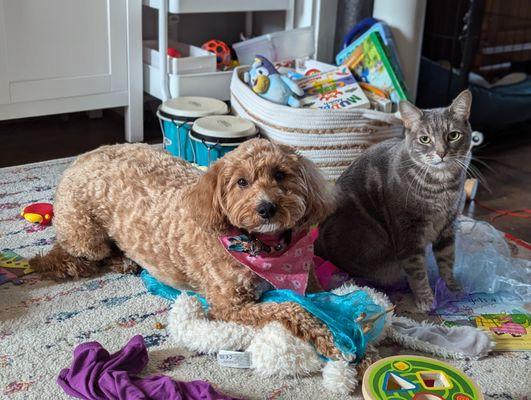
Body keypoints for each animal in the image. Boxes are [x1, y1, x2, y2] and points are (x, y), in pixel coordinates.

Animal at [31, 139, 342, 358]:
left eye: (280, 175)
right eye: (242, 182)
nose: (266, 208)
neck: (264, 246)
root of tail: (80, 157)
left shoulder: (309, 279)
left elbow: (316, 296)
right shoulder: (230, 306)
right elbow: (290, 307)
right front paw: (330, 339)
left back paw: (126, 260)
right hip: (85, 235)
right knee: (71, 255)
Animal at [316, 91, 474, 312]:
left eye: (453, 135)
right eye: (425, 139)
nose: (441, 153)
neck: (441, 188)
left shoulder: (448, 227)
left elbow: (447, 260)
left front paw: (451, 287)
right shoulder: (408, 234)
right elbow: (417, 271)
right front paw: (426, 299)